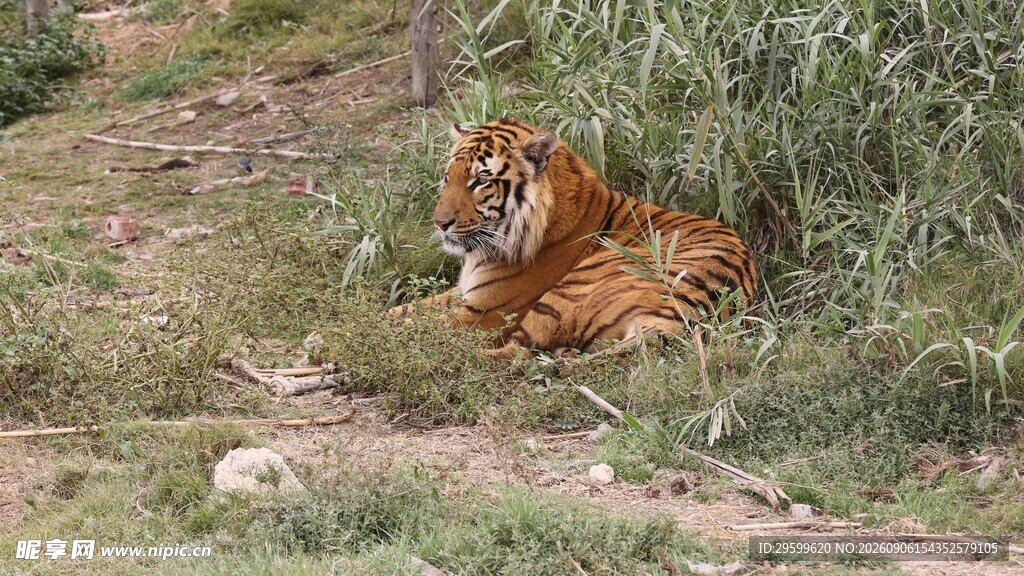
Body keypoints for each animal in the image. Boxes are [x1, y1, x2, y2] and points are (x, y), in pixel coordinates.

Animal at [389, 118, 757, 359]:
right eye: (447, 177)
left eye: (481, 180)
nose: (440, 223)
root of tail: (698, 308)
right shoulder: (462, 292)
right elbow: (401, 311)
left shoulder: (485, 313)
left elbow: (413, 327)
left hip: (568, 292)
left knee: (513, 355)